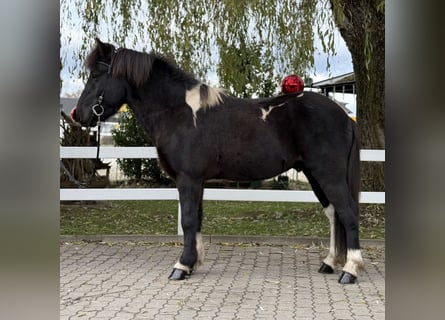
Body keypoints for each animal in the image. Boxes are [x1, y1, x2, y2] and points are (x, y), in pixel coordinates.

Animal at [71, 38, 362, 284]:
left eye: (96, 75)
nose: (78, 114)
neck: (179, 112)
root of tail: (345, 117)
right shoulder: (197, 181)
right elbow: (197, 218)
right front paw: (193, 263)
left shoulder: (188, 179)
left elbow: (189, 220)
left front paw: (181, 267)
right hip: (314, 175)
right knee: (334, 213)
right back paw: (329, 262)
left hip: (328, 174)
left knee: (348, 212)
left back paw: (350, 270)